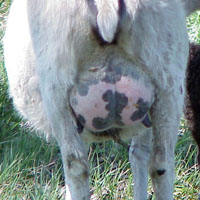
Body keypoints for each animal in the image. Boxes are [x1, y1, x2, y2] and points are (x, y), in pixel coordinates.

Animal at [3, 0, 200, 200]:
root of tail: (106, 7)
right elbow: (139, 152)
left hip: (56, 90)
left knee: (76, 166)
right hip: (165, 80)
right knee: (161, 163)